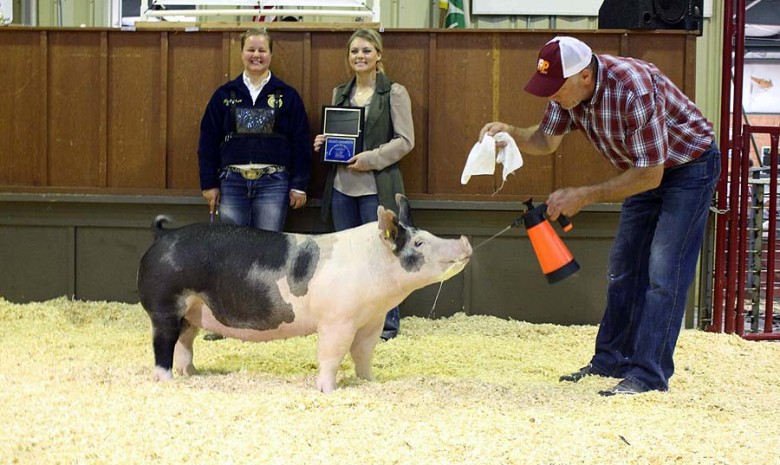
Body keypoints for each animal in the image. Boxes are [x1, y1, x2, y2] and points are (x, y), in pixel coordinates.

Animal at [137, 192, 472, 392]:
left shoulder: (370, 322)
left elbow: (363, 353)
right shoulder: (337, 321)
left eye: (427, 234)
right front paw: (327, 391)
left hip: (191, 312)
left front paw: (370, 381)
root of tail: (163, 236)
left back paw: (193, 374)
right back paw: (167, 382)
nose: (465, 241)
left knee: (185, 342)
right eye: (419, 244)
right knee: (163, 345)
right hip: (165, 306)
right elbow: (331, 354)